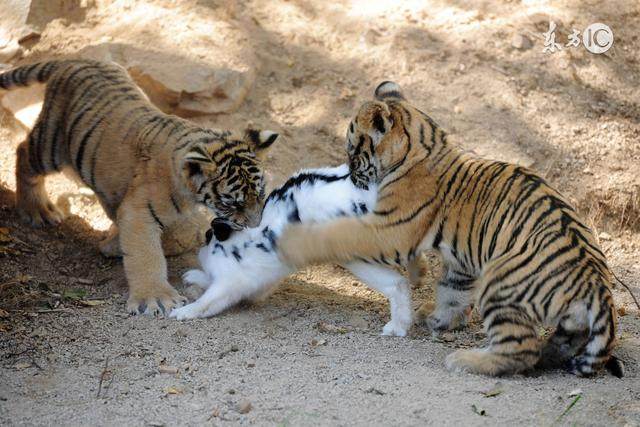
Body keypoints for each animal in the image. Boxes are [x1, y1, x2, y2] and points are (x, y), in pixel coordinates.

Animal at [170, 166, 412, 336]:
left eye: (209, 235)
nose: (205, 238)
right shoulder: (260, 284)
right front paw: (190, 276)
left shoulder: (230, 283)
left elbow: (206, 302)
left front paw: (181, 312)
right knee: (399, 284)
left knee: (396, 285)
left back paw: (395, 328)